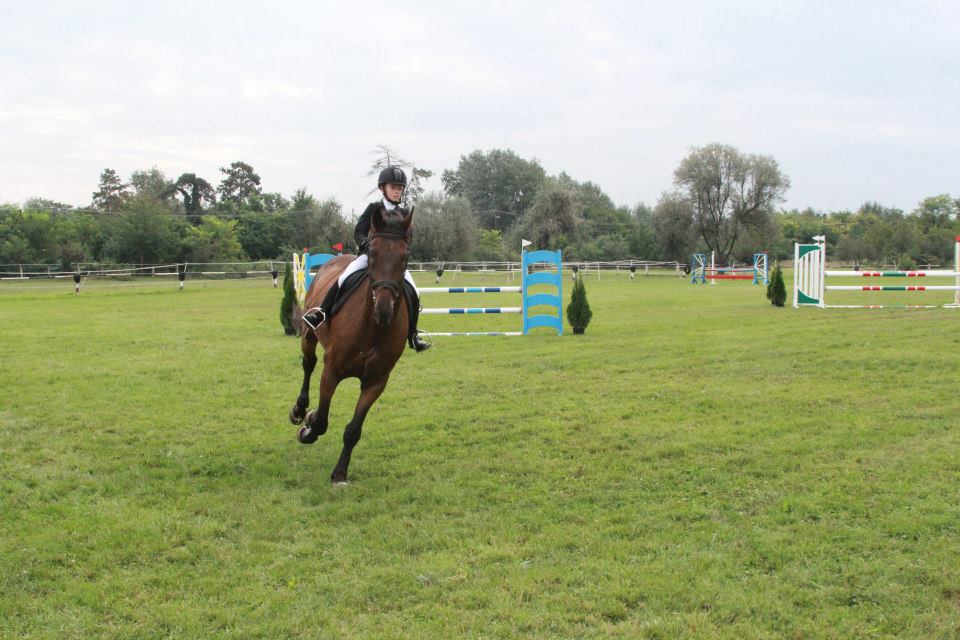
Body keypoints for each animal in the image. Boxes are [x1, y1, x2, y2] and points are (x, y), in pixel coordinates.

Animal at [288, 207, 413, 484]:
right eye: (373, 253)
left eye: (405, 257)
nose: (384, 311)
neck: (372, 329)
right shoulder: (331, 371)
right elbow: (322, 421)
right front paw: (309, 427)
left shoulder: (375, 382)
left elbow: (354, 430)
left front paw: (340, 473)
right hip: (309, 335)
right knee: (308, 363)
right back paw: (300, 410)